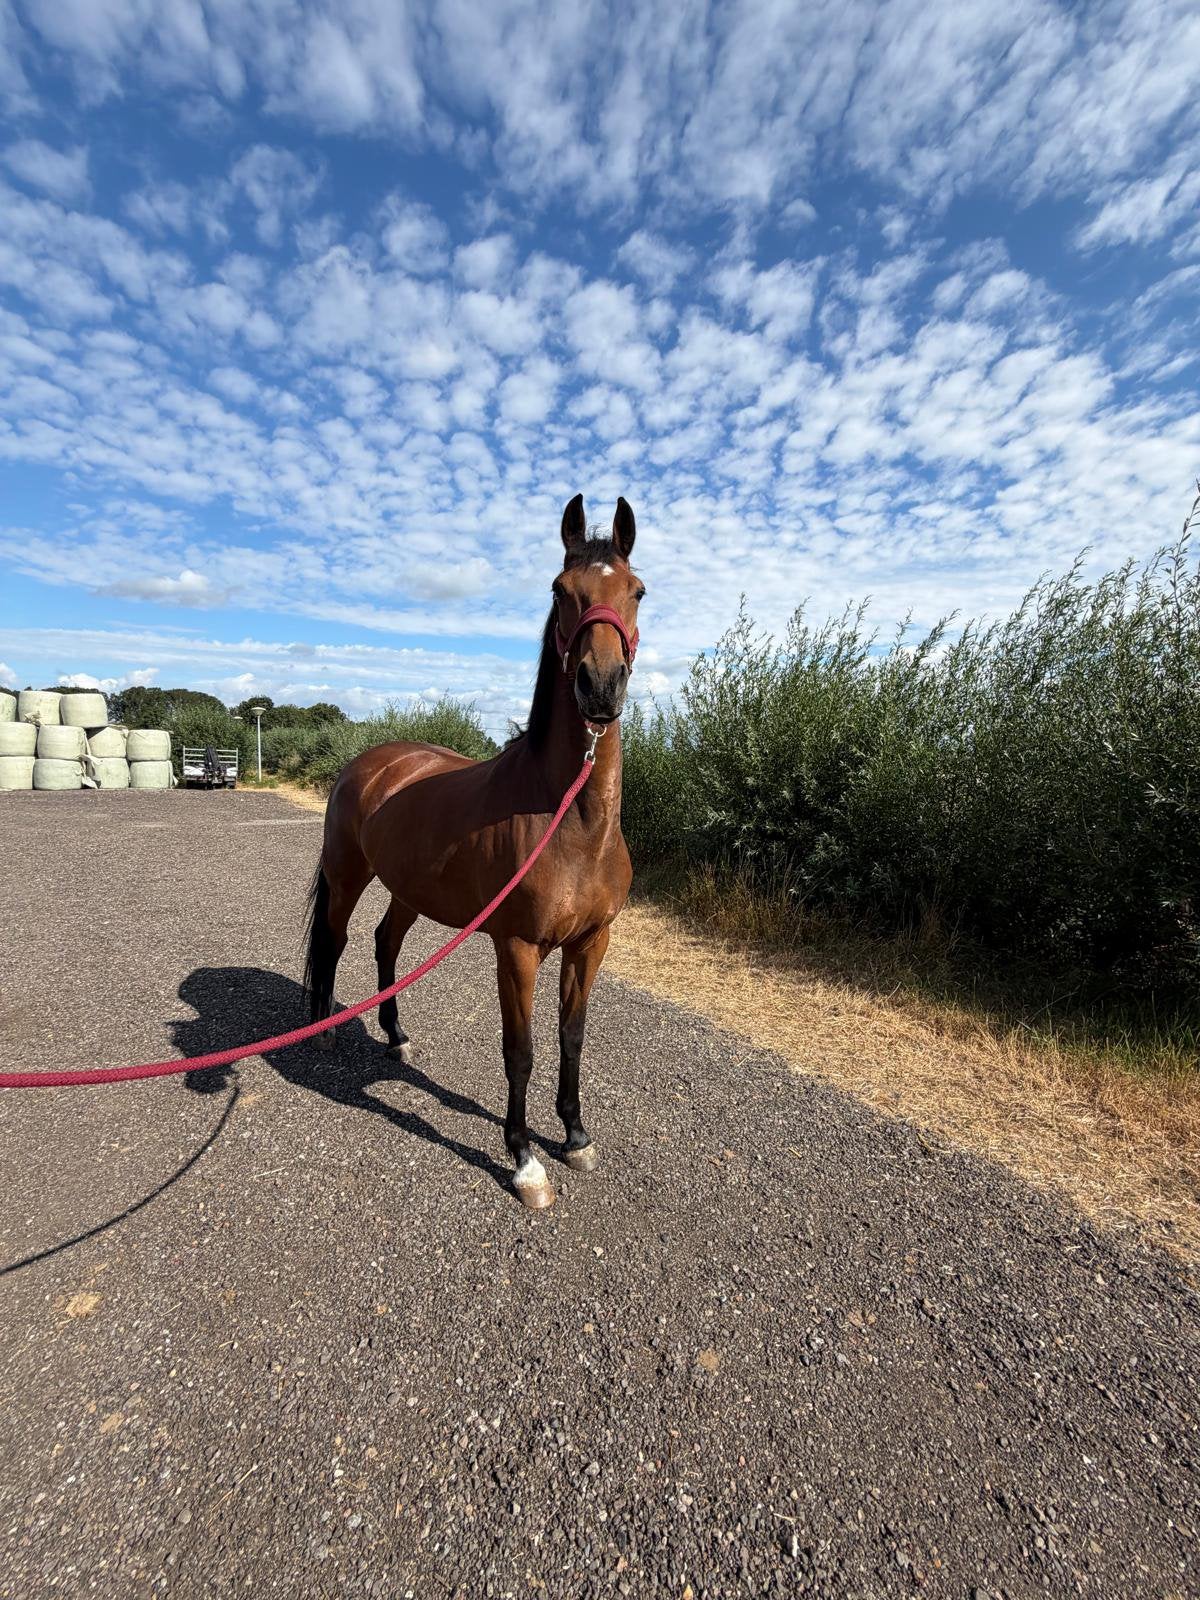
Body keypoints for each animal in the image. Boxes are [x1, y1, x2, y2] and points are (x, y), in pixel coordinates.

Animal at [303, 494, 645, 1209]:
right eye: (561, 590)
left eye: (637, 590)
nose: (600, 688)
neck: (574, 821)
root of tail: (370, 761)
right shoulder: (515, 947)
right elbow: (521, 1048)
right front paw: (522, 1157)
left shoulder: (591, 941)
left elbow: (572, 1038)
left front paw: (574, 1135)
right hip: (348, 875)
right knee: (334, 941)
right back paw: (320, 1028)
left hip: (409, 888)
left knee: (385, 942)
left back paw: (396, 1038)